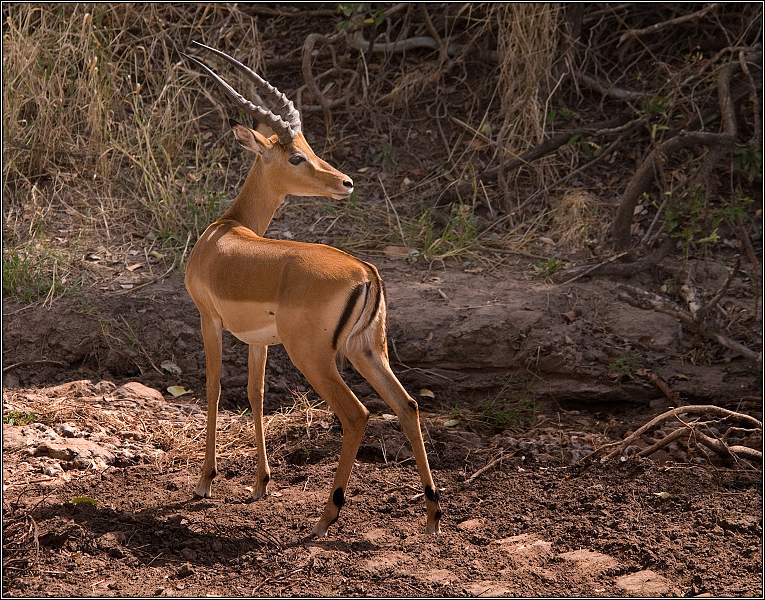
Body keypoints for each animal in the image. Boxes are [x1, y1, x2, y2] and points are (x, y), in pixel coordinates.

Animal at [182, 42, 442, 536]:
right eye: (297, 154)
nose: (346, 182)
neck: (226, 233)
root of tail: (366, 272)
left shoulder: (209, 320)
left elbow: (213, 389)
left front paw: (205, 482)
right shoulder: (259, 340)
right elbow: (255, 395)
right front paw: (260, 484)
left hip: (315, 356)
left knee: (357, 414)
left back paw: (326, 517)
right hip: (366, 350)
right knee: (408, 404)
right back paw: (433, 514)